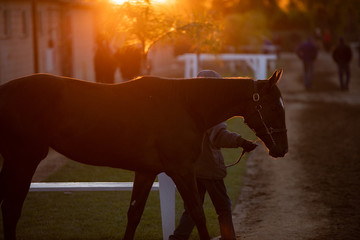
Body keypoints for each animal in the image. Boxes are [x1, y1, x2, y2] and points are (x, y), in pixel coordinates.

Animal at [0, 70, 286, 240]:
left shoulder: (147, 171)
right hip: (24, 159)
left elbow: (134, 214)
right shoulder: (181, 170)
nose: (282, 149)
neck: (186, 104)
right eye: (273, 106)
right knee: (12, 209)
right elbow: (197, 213)